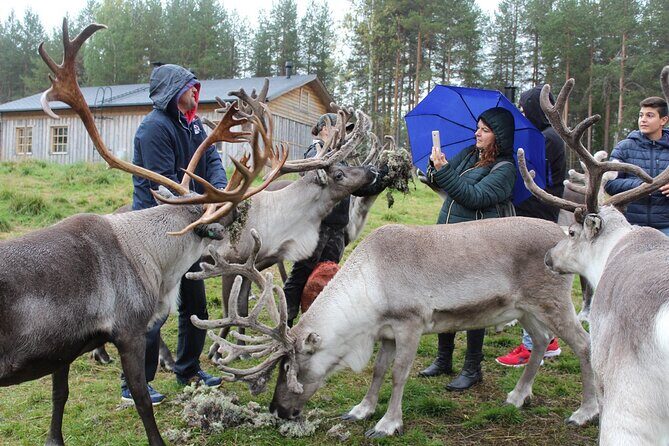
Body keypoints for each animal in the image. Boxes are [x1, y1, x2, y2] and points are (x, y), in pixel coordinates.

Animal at [0, 20, 290, 446]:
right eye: (219, 225)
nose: (241, 217)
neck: (149, 256)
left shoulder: (62, 346)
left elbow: (59, 396)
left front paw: (54, 438)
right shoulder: (129, 331)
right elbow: (139, 399)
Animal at [190, 208, 599, 438]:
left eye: (292, 369)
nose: (278, 409)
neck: (371, 293)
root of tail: (564, 236)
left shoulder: (411, 323)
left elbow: (400, 374)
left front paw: (387, 423)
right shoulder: (384, 331)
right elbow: (378, 370)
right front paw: (361, 409)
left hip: (553, 300)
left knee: (583, 344)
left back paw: (584, 412)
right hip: (526, 308)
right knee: (542, 340)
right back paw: (517, 396)